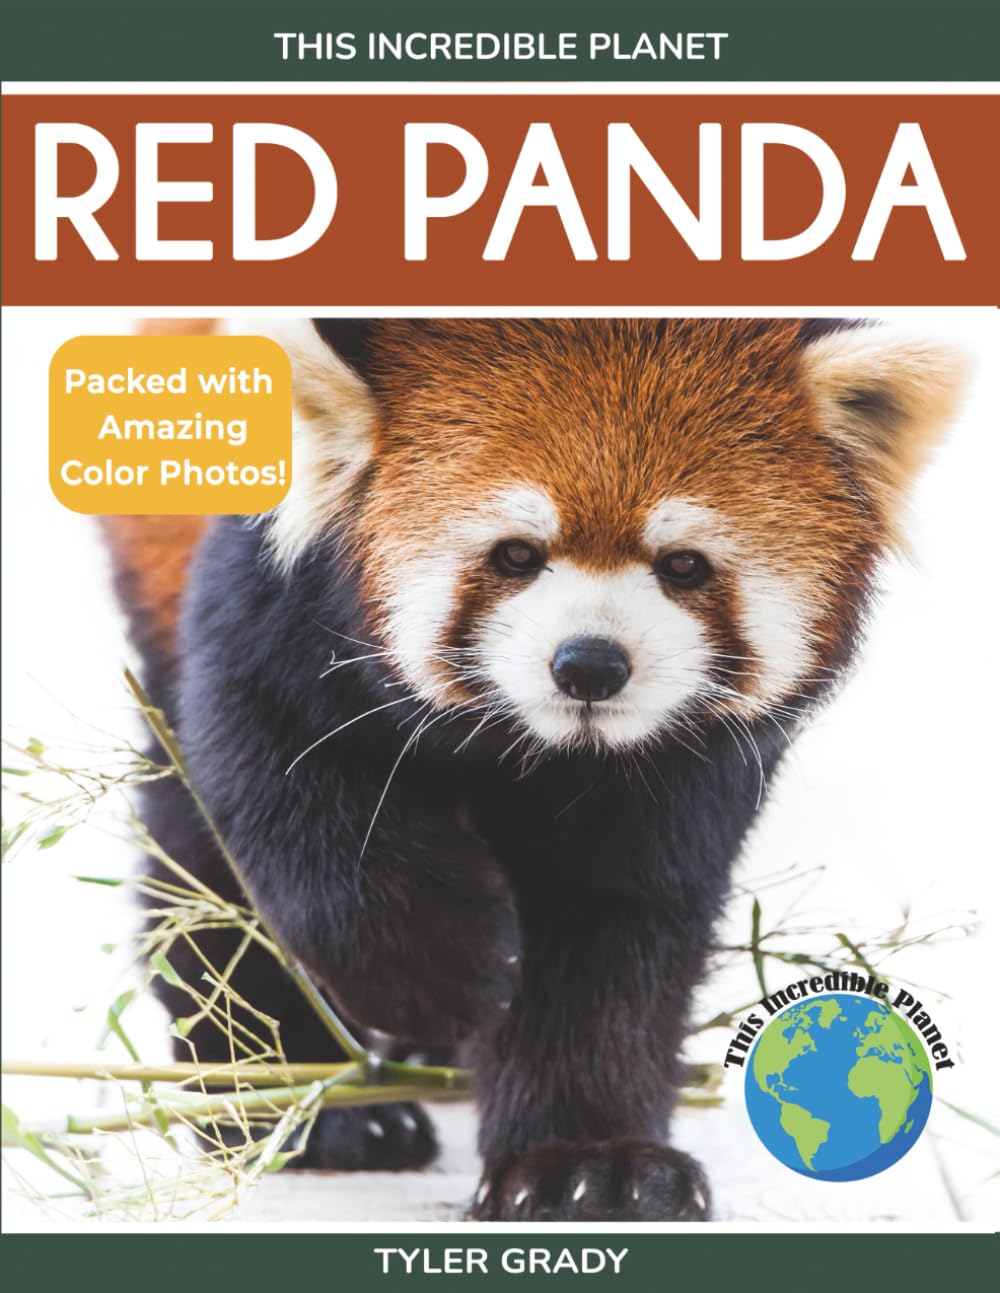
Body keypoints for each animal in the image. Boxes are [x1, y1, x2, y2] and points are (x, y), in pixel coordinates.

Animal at [102, 318, 967, 1220]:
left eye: (684, 565)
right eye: (516, 554)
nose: (589, 663)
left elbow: (609, 919)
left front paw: (589, 1161)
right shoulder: (272, 607)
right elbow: (285, 789)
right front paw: (435, 970)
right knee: (197, 862)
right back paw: (294, 1106)